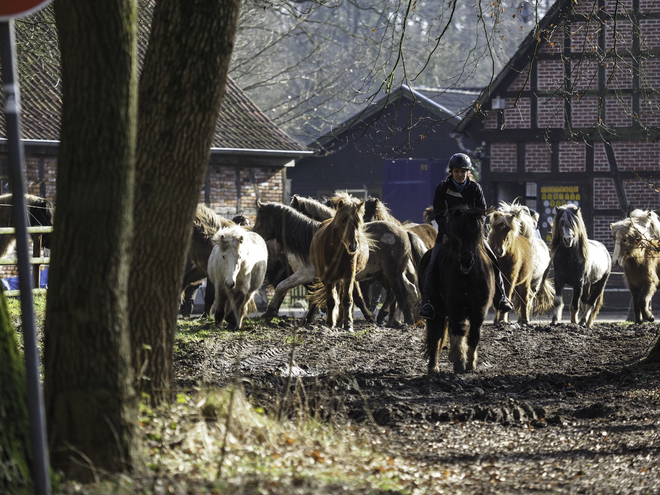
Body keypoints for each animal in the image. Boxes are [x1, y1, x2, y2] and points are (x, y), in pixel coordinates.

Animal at [308, 193, 372, 330]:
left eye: (359, 221)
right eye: (343, 221)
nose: (353, 246)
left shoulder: (349, 274)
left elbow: (347, 299)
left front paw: (348, 324)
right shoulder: (329, 277)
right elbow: (331, 300)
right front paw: (329, 323)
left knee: (343, 296)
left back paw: (342, 321)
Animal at [418, 203, 496, 374]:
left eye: (476, 232)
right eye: (457, 232)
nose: (467, 260)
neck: (468, 276)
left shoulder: (479, 309)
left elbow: (474, 334)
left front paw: (470, 363)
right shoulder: (456, 306)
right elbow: (459, 330)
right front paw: (460, 362)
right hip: (435, 312)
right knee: (435, 336)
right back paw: (433, 367)